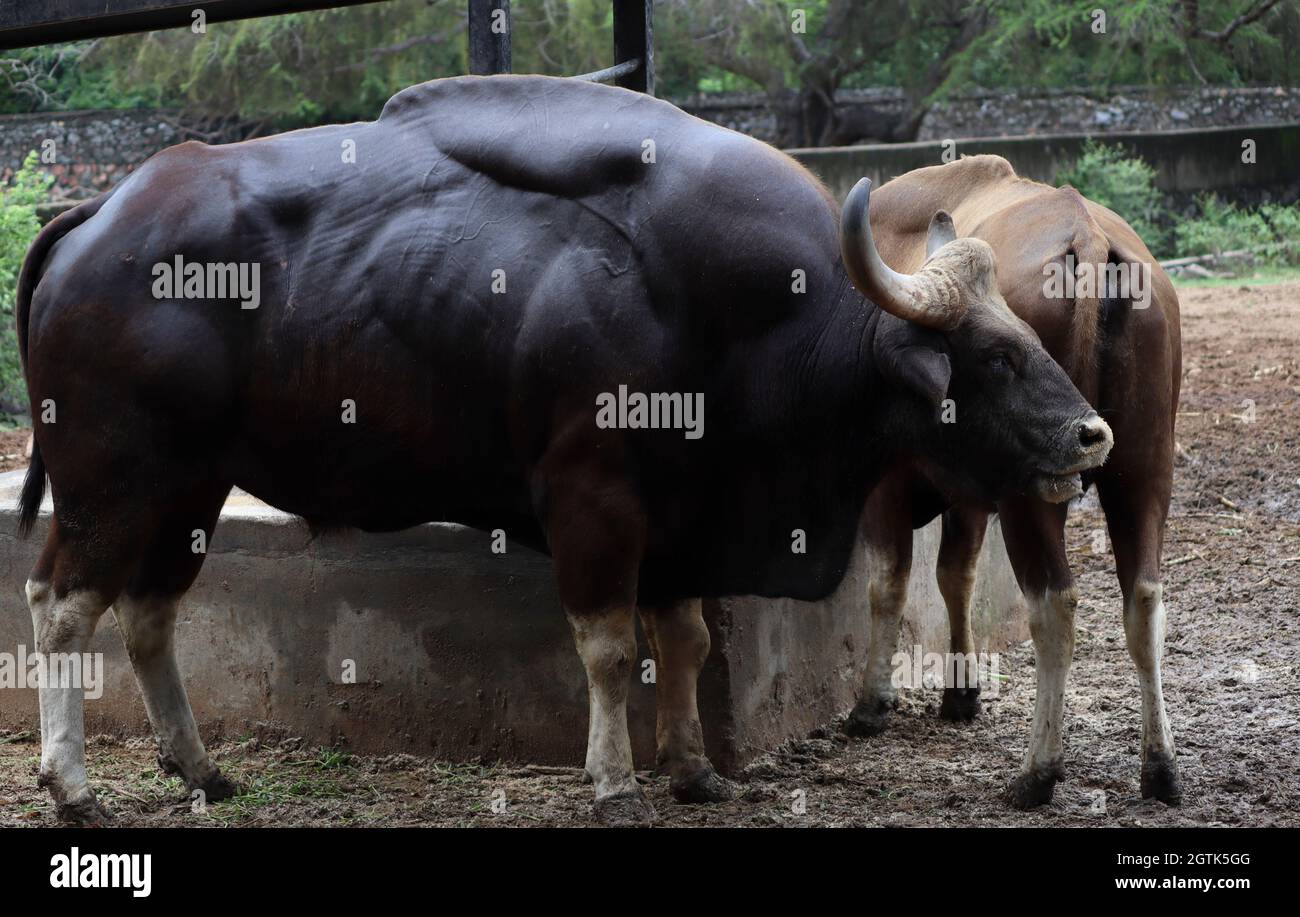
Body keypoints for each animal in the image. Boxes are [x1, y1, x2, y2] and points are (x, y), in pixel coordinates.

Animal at [15, 77, 1112, 826]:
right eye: (990, 356)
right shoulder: (595, 501)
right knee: (63, 605)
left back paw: (200, 766)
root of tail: (99, 215)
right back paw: (71, 784)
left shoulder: (683, 514)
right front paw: (615, 777)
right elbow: (610, 645)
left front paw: (692, 766)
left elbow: (687, 639)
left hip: (191, 485)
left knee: (149, 613)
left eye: (1026, 331)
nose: (1090, 432)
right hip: (110, 480)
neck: (734, 314)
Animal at [840, 155, 1182, 809]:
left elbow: (889, 583)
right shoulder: (972, 494)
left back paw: (1038, 770)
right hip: (1145, 470)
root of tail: (1088, 238)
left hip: (1036, 492)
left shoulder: (888, 486)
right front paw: (962, 692)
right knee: (1145, 599)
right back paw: (1160, 767)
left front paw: (872, 703)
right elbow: (955, 574)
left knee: (1055, 604)